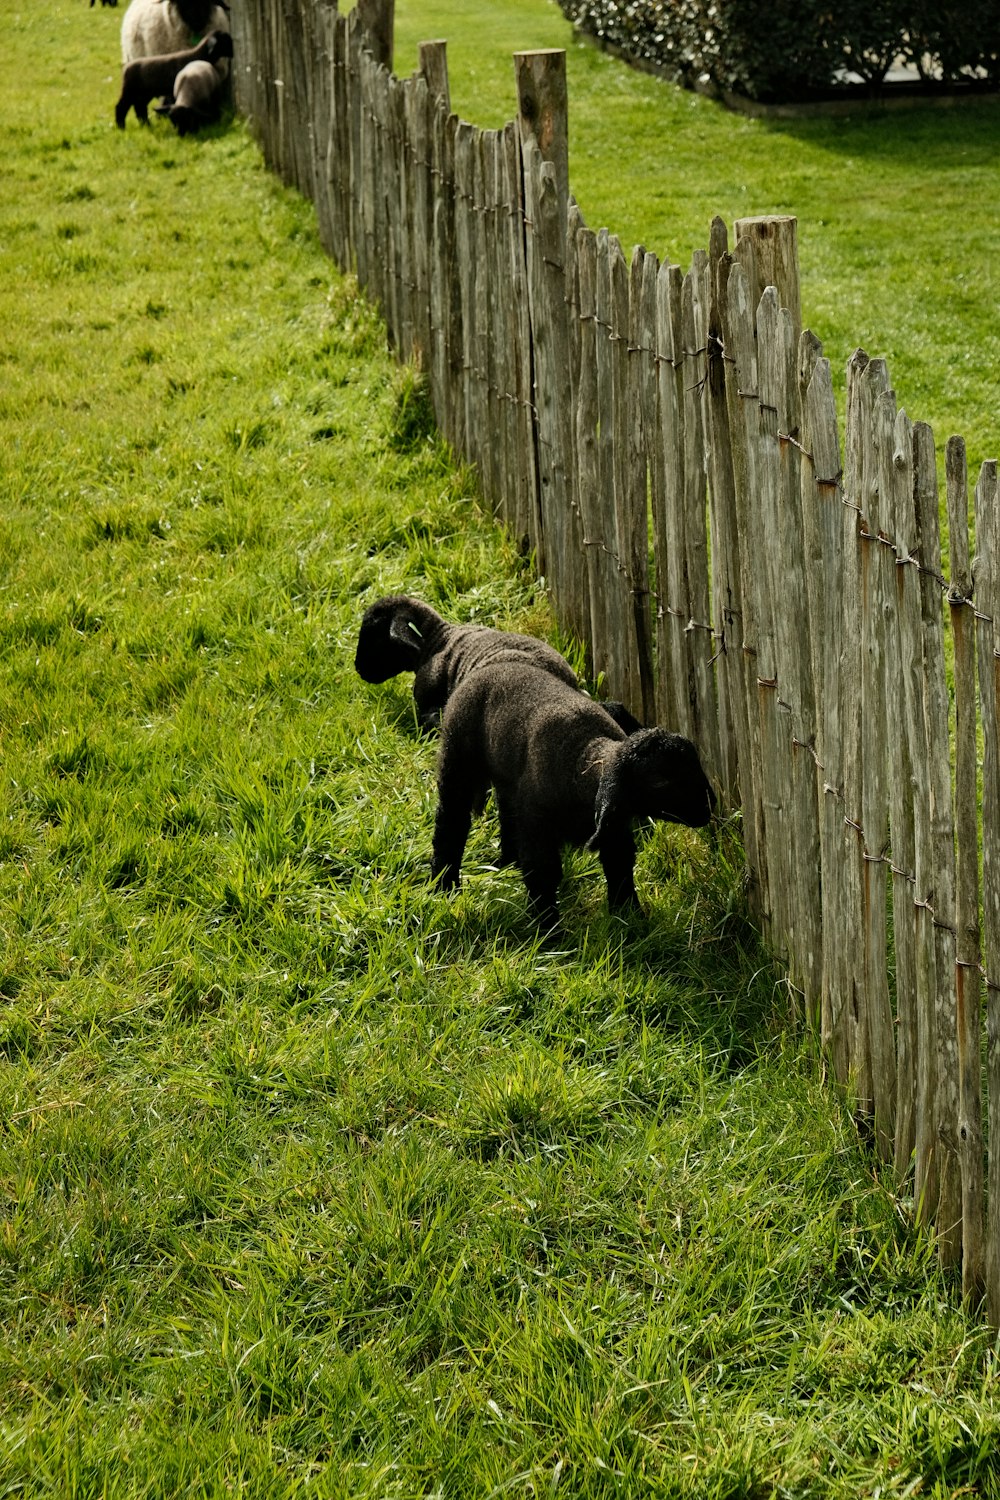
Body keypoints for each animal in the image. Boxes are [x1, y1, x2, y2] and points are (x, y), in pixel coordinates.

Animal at [425, 660, 716, 924]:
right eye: (660, 781)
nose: (709, 805)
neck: (583, 764)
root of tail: (491, 667)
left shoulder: (614, 827)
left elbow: (620, 866)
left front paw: (631, 919)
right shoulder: (539, 826)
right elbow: (543, 873)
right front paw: (549, 932)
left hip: (508, 778)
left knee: (507, 814)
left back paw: (507, 862)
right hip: (457, 759)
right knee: (451, 821)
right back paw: (444, 885)